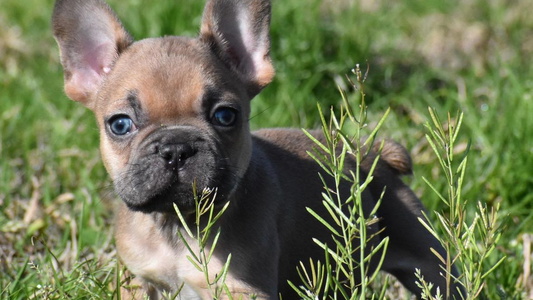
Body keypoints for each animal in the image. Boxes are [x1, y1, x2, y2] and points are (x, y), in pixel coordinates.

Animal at [53, 0, 462, 298]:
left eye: (225, 115)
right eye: (120, 124)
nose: (176, 148)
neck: (177, 224)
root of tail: (372, 153)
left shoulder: (242, 290)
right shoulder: (139, 282)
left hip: (426, 258)